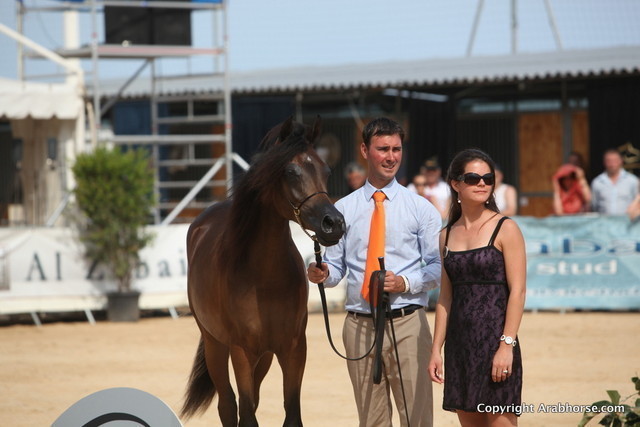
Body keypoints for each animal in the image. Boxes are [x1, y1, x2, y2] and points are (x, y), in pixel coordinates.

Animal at [181, 116, 345, 426]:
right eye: (290, 171)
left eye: (326, 170)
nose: (333, 224)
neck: (265, 278)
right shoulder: (241, 352)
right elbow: (245, 414)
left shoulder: (293, 349)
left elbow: (291, 414)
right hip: (214, 344)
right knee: (228, 405)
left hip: (265, 356)